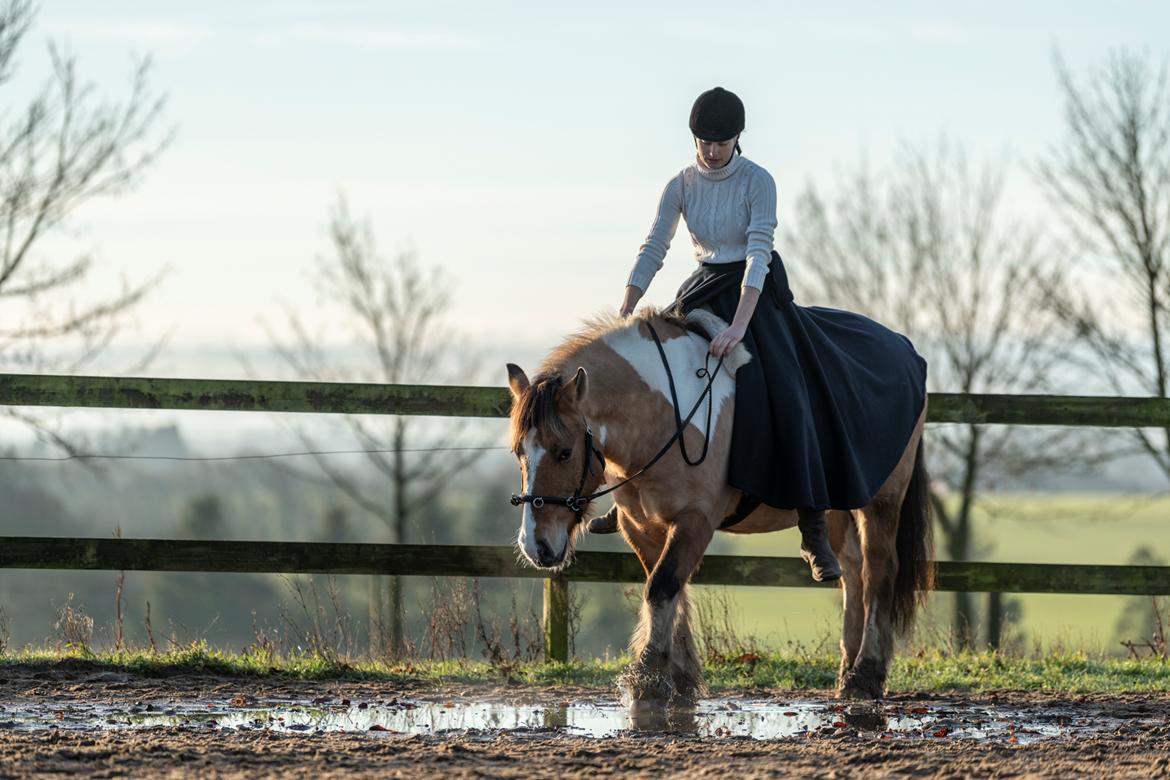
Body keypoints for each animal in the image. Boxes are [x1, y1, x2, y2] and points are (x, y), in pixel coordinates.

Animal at [503, 308, 931, 706]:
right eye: (518, 452)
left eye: (564, 452)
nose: (536, 546)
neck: (661, 414)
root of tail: (905, 349)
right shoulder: (640, 526)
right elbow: (665, 588)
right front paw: (680, 676)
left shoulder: (695, 520)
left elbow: (662, 587)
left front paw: (648, 679)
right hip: (842, 510)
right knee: (853, 572)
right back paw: (847, 672)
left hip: (882, 502)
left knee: (878, 571)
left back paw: (866, 674)